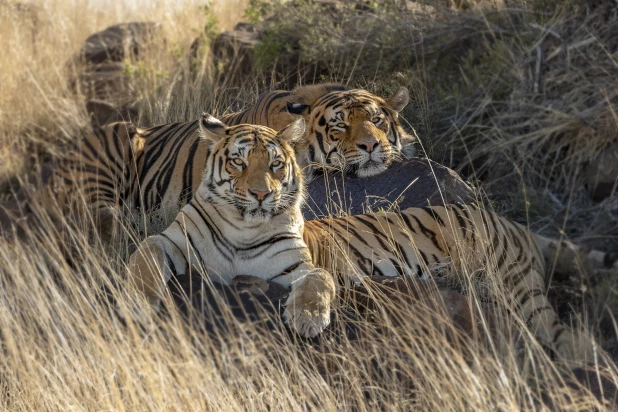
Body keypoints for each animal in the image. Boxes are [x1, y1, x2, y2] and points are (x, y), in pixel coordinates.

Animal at [127, 114, 334, 336]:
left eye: (276, 163)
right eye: (238, 161)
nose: (261, 193)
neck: (244, 228)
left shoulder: (296, 266)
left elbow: (321, 276)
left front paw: (308, 317)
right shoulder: (170, 242)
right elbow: (147, 257)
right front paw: (139, 304)